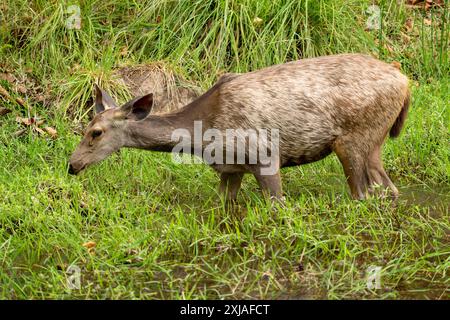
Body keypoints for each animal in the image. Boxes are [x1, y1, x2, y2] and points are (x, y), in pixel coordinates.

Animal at [68, 53, 410, 201]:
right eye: (87, 127)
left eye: (95, 132)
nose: (72, 165)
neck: (202, 135)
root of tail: (405, 82)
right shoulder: (231, 169)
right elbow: (223, 205)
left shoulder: (264, 156)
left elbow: (277, 206)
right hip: (374, 143)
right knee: (389, 189)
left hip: (354, 138)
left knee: (363, 194)